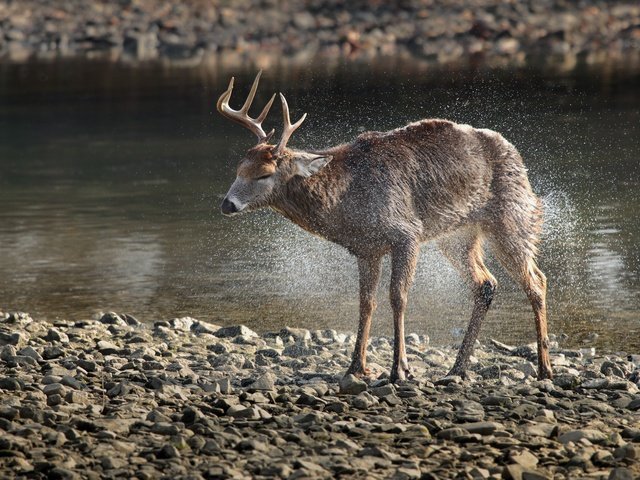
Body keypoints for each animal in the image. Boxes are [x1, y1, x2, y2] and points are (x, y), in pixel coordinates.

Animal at [216, 71, 556, 382]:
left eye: (264, 174)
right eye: (239, 168)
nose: (227, 204)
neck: (346, 203)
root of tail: (516, 155)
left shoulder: (407, 232)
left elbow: (398, 297)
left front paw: (399, 368)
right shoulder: (366, 249)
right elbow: (367, 302)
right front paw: (356, 367)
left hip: (511, 216)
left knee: (536, 280)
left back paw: (545, 369)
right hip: (457, 236)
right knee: (486, 283)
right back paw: (457, 369)